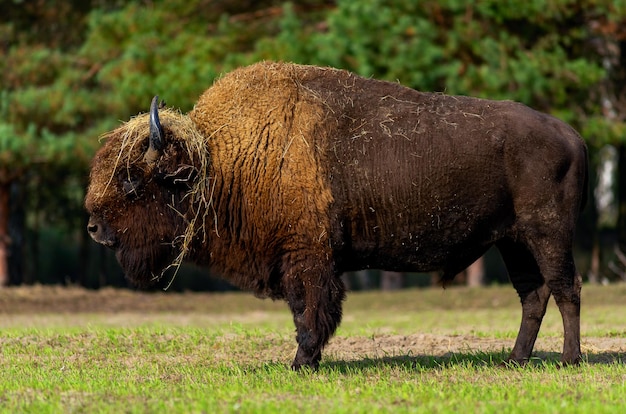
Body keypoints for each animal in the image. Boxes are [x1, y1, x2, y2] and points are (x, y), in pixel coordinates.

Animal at [85, 60, 588, 368]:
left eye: (131, 180)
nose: (93, 227)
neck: (221, 162)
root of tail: (572, 135)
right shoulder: (295, 259)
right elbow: (303, 311)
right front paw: (305, 361)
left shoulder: (308, 257)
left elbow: (313, 312)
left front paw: (301, 362)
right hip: (513, 241)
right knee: (533, 295)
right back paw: (515, 359)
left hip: (547, 234)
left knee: (566, 289)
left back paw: (569, 360)